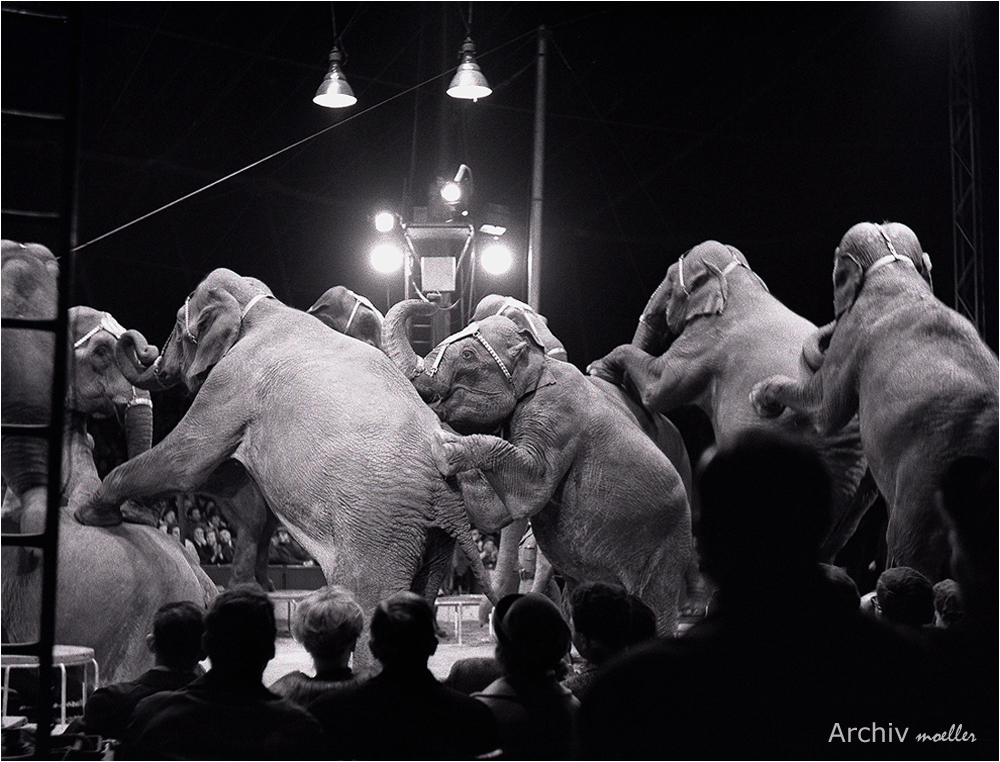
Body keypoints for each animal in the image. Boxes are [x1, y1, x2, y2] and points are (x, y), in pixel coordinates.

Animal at [76, 268, 498, 672]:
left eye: (180, 325)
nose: (147, 351)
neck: (259, 306)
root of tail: (445, 494)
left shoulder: (232, 381)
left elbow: (190, 461)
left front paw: (93, 514)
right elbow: (222, 474)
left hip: (379, 531)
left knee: (368, 602)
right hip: (430, 538)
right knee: (419, 593)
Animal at [384, 300, 696, 632]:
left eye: (468, 355)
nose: (431, 304)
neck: (540, 361)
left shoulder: (554, 411)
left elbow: (530, 489)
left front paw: (443, 445)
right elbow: (493, 512)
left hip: (665, 546)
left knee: (656, 600)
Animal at [584, 240, 876, 560]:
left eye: (670, 279)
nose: (616, 383)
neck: (738, 279)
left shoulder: (705, 341)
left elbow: (659, 387)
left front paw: (597, 369)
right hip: (858, 486)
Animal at [752, 223, 1000, 580]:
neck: (893, 269)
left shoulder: (852, 337)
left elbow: (826, 409)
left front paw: (761, 397)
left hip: (924, 480)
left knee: (909, 547)